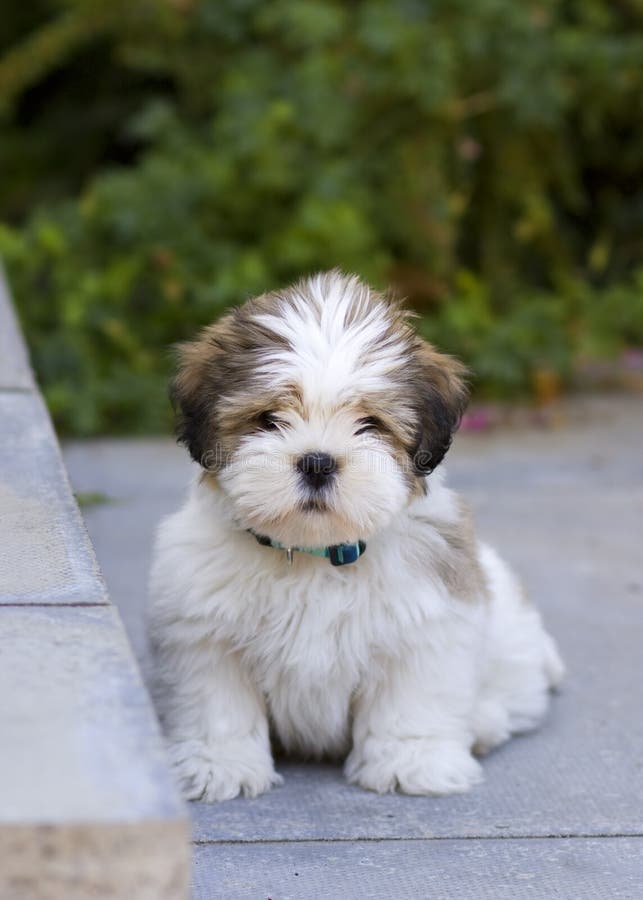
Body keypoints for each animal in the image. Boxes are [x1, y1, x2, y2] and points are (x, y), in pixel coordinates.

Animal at [147, 268, 564, 800]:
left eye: (370, 423)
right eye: (268, 419)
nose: (317, 462)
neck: (313, 554)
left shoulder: (425, 626)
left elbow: (412, 699)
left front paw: (411, 761)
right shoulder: (205, 633)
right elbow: (218, 704)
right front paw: (221, 764)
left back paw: (483, 722)